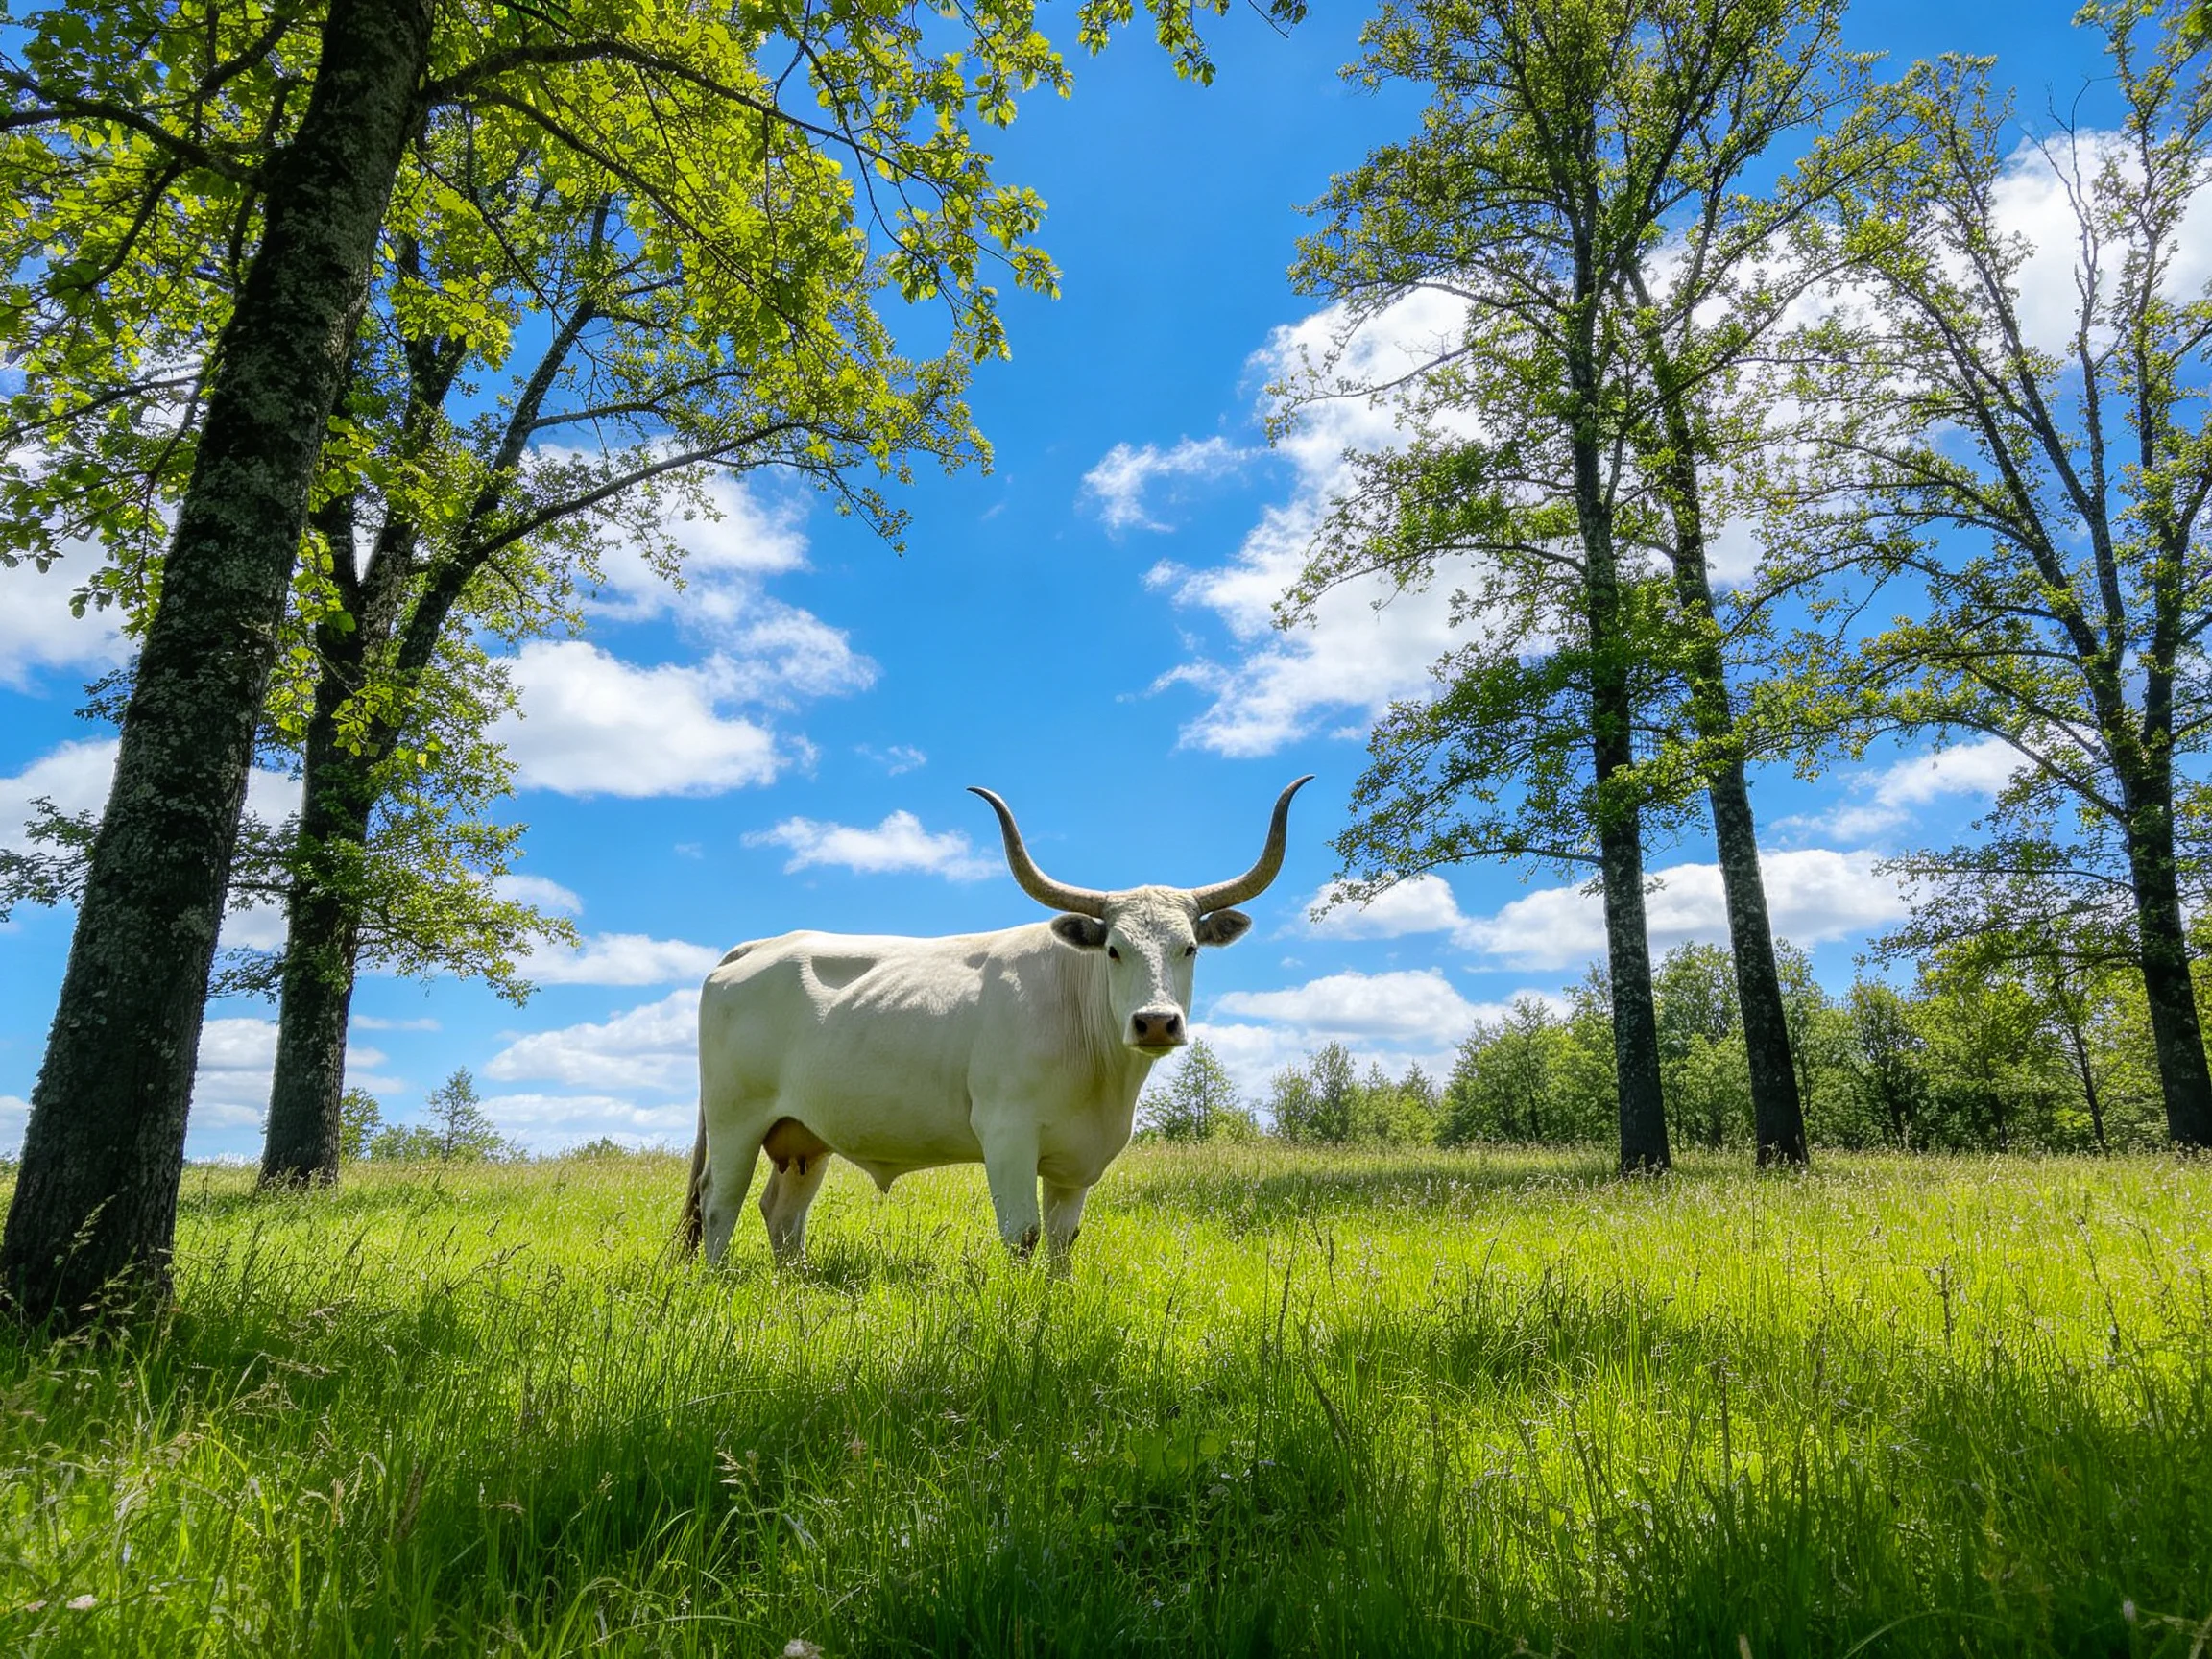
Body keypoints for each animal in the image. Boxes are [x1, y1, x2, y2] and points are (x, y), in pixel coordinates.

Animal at [679, 776, 1312, 1267]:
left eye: (1190, 948)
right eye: (1113, 950)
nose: (1156, 1022)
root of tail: (760, 947)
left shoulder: (1075, 1164)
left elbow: (1061, 1244)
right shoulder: (1007, 1136)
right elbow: (1024, 1238)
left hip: (803, 1136)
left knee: (782, 1211)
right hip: (737, 1120)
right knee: (719, 1203)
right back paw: (718, 1282)